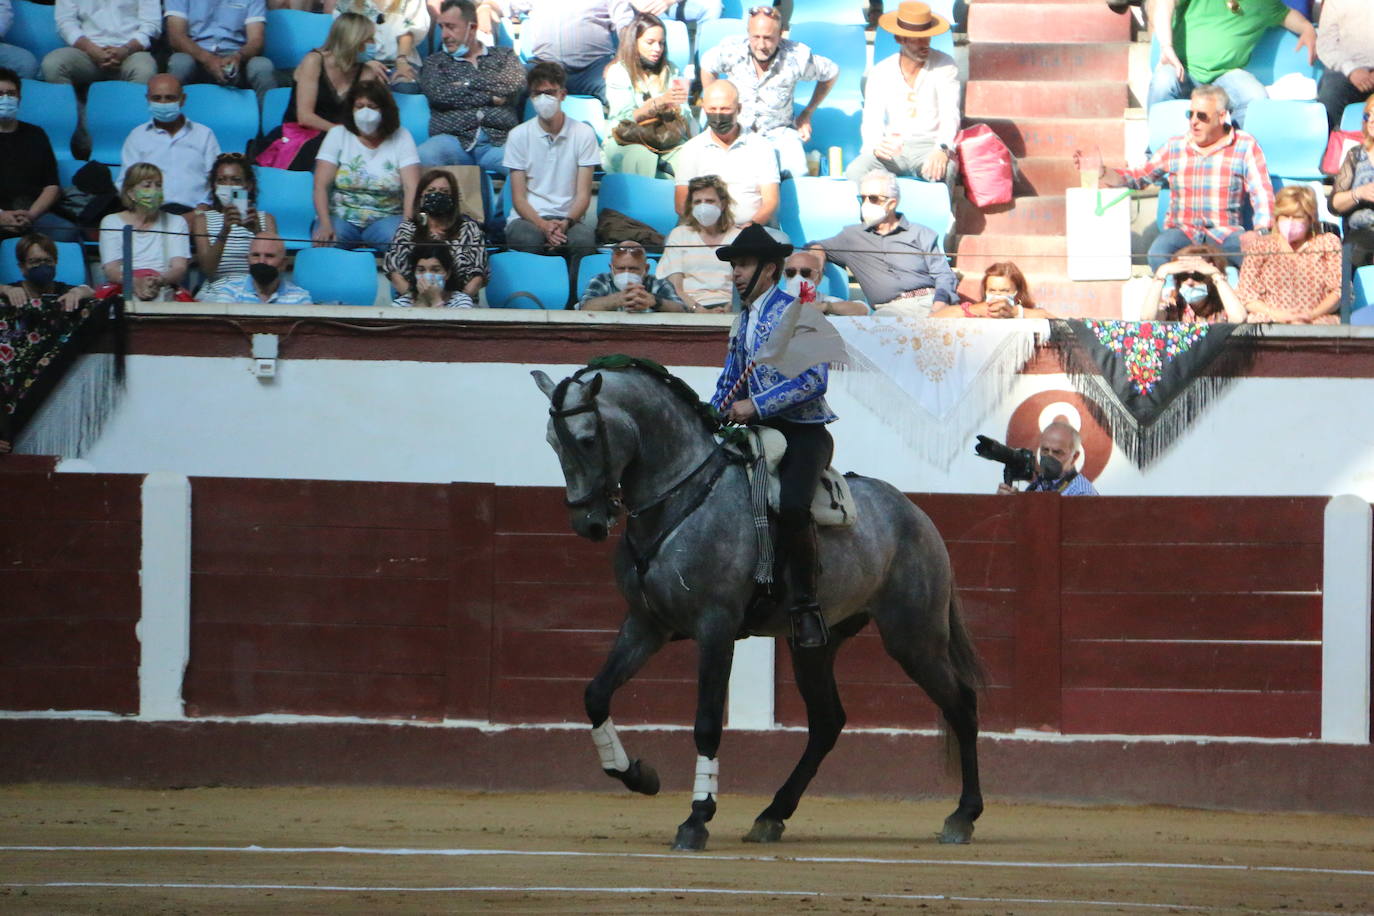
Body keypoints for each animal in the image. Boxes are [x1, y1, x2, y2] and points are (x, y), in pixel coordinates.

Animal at [530, 357, 983, 851]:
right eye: (551, 440)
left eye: (587, 439)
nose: (588, 523)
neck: (680, 497)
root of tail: (916, 514)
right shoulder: (645, 624)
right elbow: (596, 693)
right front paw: (639, 776)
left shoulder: (716, 628)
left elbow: (707, 721)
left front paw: (696, 819)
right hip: (816, 645)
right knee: (827, 722)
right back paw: (772, 814)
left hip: (914, 637)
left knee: (961, 704)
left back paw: (963, 816)